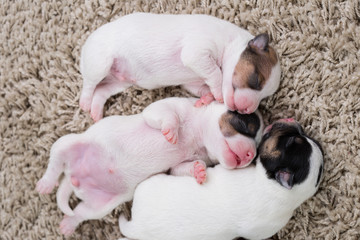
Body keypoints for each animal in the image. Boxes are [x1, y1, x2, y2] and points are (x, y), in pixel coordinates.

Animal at [35, 97, 262, 236]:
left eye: (258, 148)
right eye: (246, 125)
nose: (251, 155)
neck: (199, 135)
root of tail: (75, 177)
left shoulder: (182, 163)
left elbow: (180, 169)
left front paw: (198, 170)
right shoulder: (168, 106)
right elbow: (165, 114)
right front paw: (171, 131)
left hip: (102, 205)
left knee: (81, 212)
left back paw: (68, 224)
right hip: (69, 143)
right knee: (55, 161)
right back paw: (45, 184)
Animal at [79, 12, 282, 121]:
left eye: (265, 98)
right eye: (255, 80)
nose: (247, 110)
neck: (230, 42)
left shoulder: (192, 80)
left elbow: (201, 85)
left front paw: (206, 98)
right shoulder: (196, 53)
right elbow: (215, 74)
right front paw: (216, 93)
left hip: (118, 82)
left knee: (101, 91)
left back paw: (95, 112)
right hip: (100, 63)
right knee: (89, 84)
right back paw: (84, 102)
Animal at [118, 118, 324, 240]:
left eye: (289, 143)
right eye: (295, 139)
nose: (295, 124)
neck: (278, 191)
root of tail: (136, 226)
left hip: (150, 184)